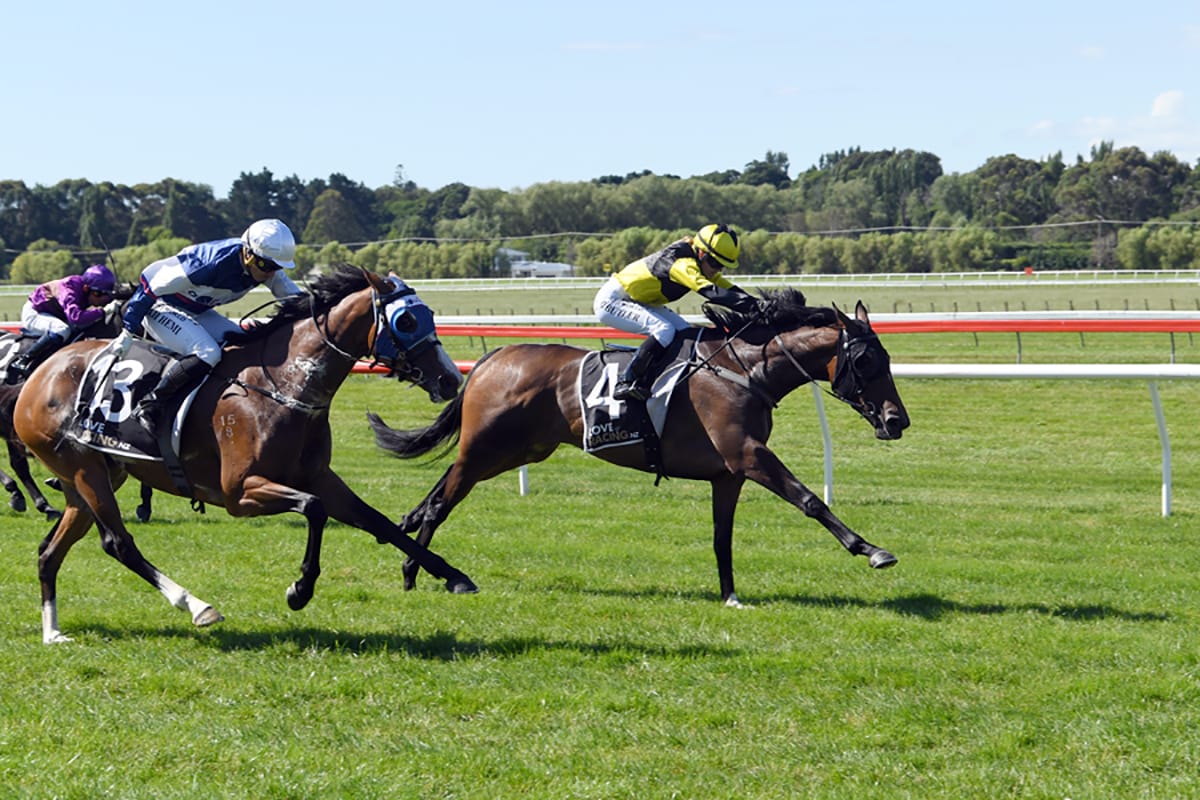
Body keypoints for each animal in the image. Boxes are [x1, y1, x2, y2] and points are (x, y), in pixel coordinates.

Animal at [15, 264, 477, 644]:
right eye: (407, 320)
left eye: (428, 314)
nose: (451, 379)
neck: (282, 386)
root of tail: (39, 375)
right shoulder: (240, 492)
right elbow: (314, 509)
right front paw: (300, 590)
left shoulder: (320, 477)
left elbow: (378, 521)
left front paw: (454, 575)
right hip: (86, 471)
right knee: (118, 543)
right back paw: (196, 605)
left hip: (94, 479)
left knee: (49, 552)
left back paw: (53, 632)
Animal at [368, 288, 910, 607]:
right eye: (865, 361)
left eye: (886, 357)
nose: (896, 420)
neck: (744, 370)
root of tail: (492, 357)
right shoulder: (749, 455)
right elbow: (810, 500)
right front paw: (872, 550)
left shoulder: (728, 473)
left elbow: (722, 538)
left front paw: (730, 595)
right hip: (487, 447)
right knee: (441, 503)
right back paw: (417, 571)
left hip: (514, 451)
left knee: (436, 495)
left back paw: (409, 544)